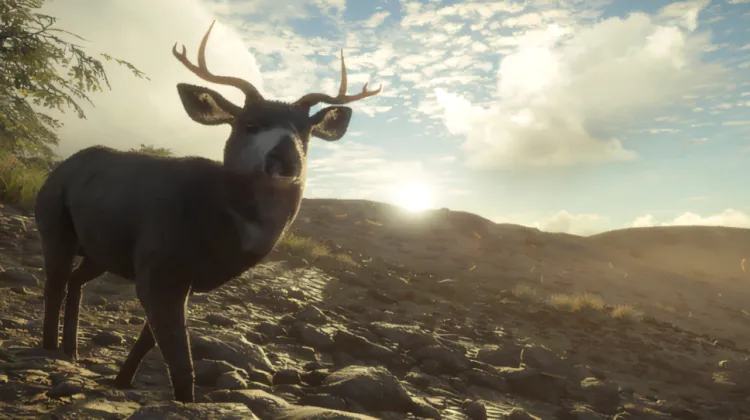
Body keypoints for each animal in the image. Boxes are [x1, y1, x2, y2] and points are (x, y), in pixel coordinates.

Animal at [34, 20, 381, 403]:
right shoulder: (159, 263)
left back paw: (71, 350)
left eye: (306, 132)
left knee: (75, 280)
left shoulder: (181, 276)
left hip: (101, 249)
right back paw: (49, 349)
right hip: (53, 221)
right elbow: (180, 360)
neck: (219, 219)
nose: (285, 159)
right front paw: (181, 399)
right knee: (55, 282)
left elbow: (150, 341)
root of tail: (60, 168)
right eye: (249, 124)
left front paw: (122, 381)